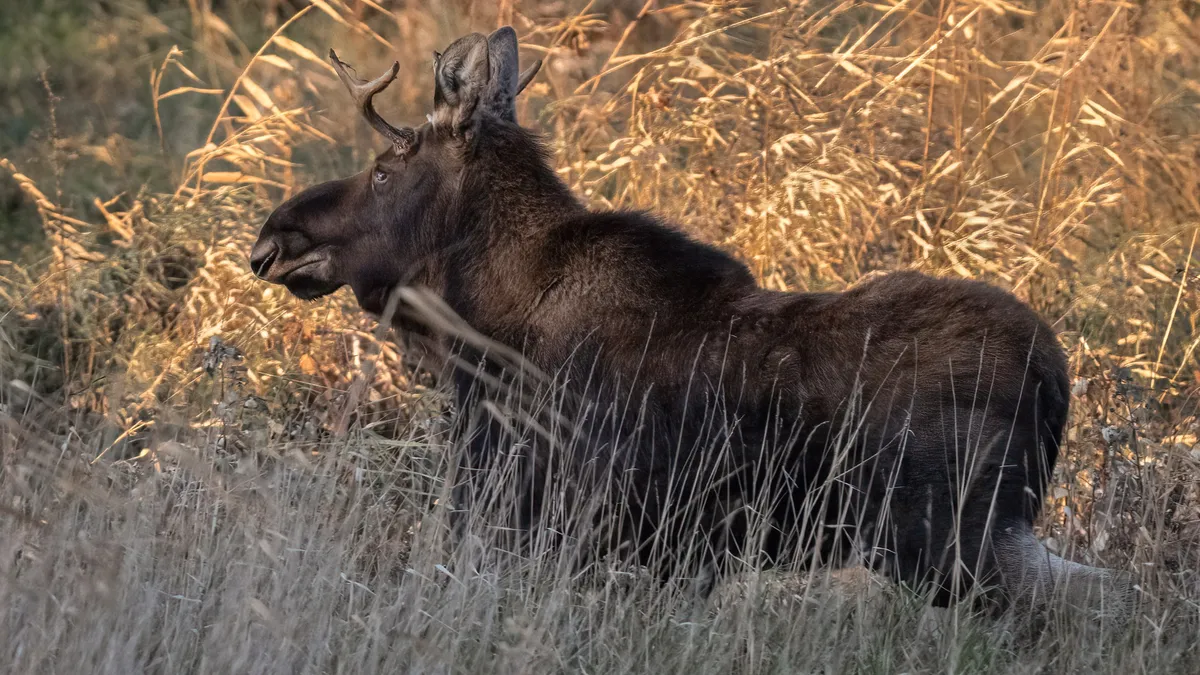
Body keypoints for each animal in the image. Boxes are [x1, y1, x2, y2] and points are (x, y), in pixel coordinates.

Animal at [249, 26, 1134, 622]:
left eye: (384, 170)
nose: (273, 236)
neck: (480, 328)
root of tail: (1056, 378)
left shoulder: (547, 513)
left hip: (959, 540)